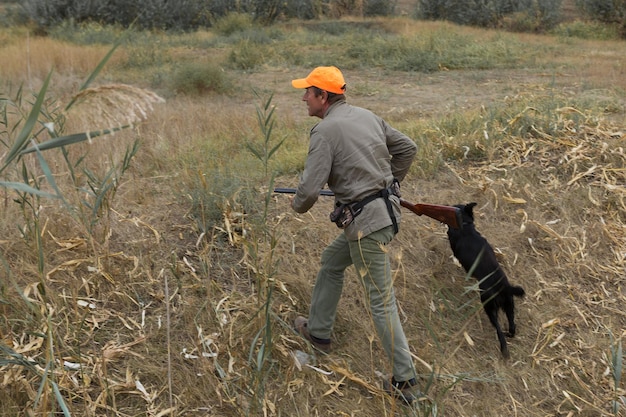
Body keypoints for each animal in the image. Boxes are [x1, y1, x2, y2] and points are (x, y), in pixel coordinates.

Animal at [446, 202, 524, 358]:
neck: (466, 227)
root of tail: (503, 287)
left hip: (489, 306)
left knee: (498, 330)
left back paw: (504, 349)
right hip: (509, 306)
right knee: (512, 325)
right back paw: (509, 334)